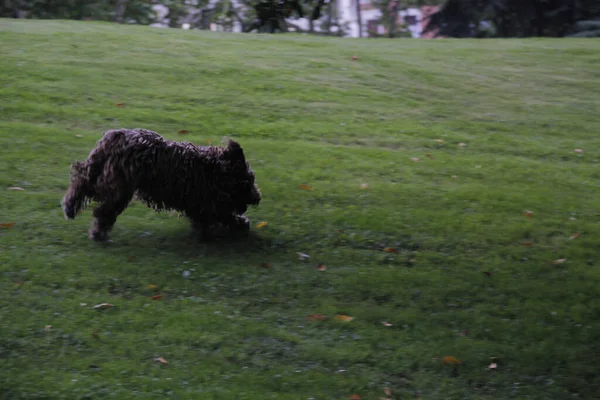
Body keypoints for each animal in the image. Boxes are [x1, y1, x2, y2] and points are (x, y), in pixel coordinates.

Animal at [62, 129, 262, 241]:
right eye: (248, 180)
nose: (258, 198)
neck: (213, 169)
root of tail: (115, 137)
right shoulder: (207, 204)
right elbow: (224, 216)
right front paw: (240, 224)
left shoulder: (200, 205)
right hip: (118, 188)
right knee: (102, 210)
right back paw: (97, 232)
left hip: (105, 178)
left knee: (82, 182)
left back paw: (70, 207)